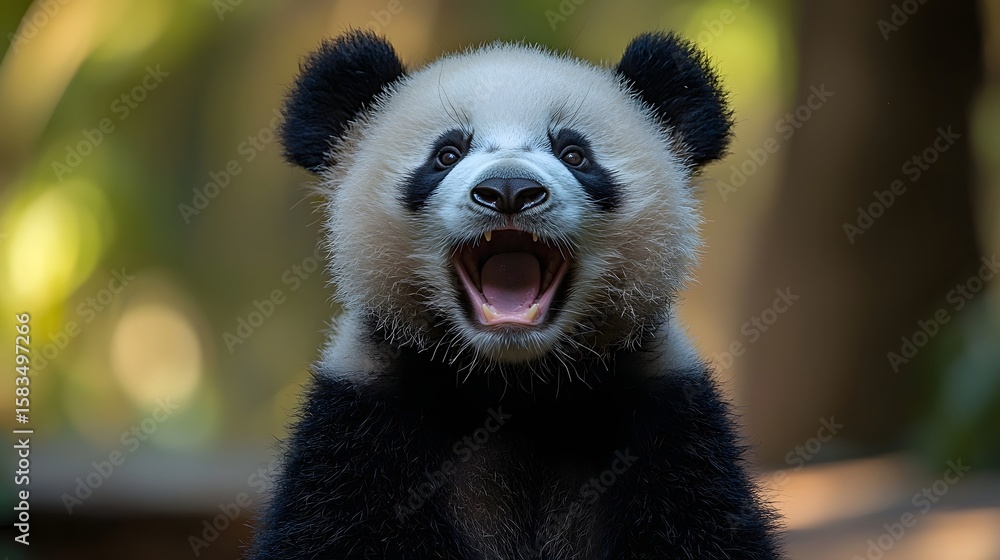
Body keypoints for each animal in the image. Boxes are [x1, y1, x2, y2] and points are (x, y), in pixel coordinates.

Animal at [251, 30, 782, 559]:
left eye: (574, 153)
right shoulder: (359, 424)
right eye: (447, 154)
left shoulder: (669, 423)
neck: (515, 385)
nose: (509, 188)